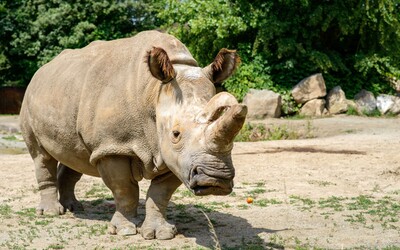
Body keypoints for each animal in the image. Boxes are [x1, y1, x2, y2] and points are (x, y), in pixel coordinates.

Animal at [19, 30, 247, 239]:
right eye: (176, 134)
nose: (216, 179)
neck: (154, 92)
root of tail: (40, 72)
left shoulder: (174, 156)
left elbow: (160, 193)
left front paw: (160, 233)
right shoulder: (113, 146)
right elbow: (124, 189)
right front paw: (124, 231)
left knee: (76, 156)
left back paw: (74, 207)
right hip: (30, 100)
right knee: (41, 157)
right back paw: (51, 213)